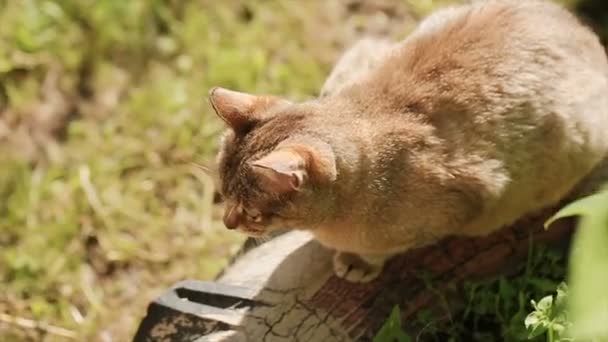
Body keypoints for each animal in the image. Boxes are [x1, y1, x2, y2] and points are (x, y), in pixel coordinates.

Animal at [208, 0, 608, 284]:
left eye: (252, 213)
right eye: (223, 196)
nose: (227, 223)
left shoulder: (466, 203)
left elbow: (384, 249)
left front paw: (357, 262)